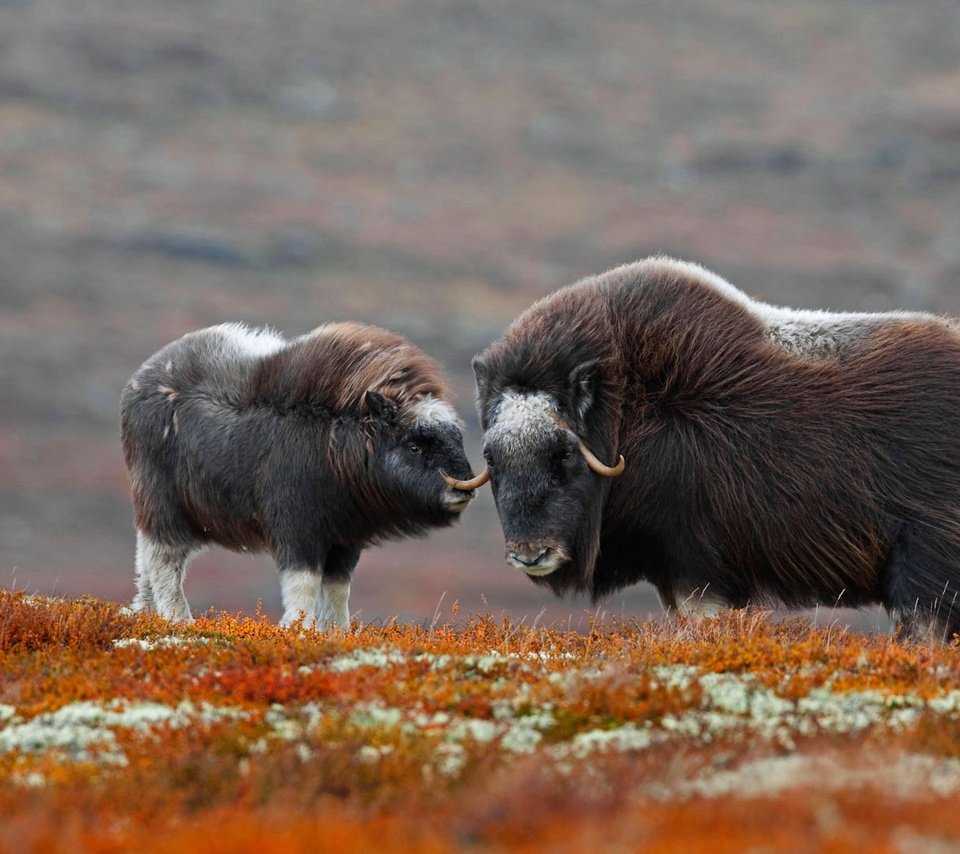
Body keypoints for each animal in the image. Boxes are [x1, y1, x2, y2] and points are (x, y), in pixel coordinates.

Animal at [120, 320, 476, 628]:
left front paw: (336, 632)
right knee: (163, 559)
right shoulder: (298, 528)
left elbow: (338, 588)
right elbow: (303, 583)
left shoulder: (345, 537)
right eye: (415, 446)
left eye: (455, 436)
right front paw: (299, 629)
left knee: (146, 558)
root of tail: (140, 380)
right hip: (163, 505)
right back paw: (177, 619)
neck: (338, 440)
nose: (464, 488)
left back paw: (144, 613)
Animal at [456, 258, 960, 640]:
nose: (530, 554)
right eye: (492, 459)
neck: (628, 413)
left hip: (923, 568)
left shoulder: (697, 567)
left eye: (563, 455)